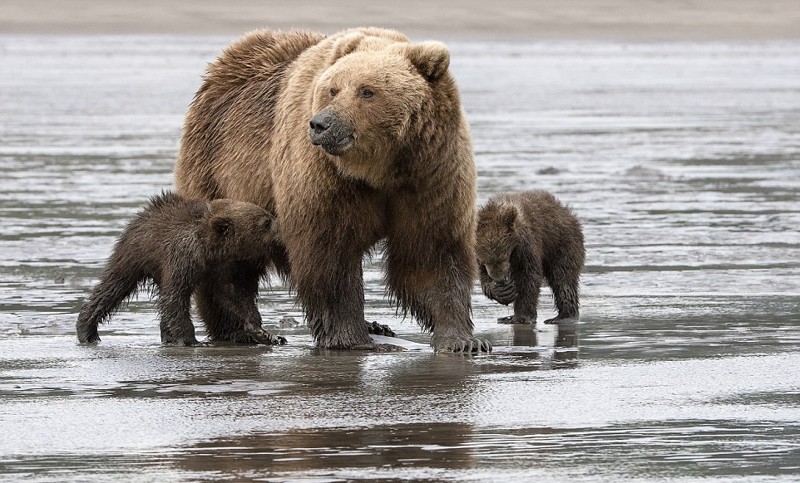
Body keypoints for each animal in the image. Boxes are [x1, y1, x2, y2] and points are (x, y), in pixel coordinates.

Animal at [174, 27, 488, 352]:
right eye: (333, 89)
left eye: (367, 91)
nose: (321, 123)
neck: (381, 169)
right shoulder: (326, 178)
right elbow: (330, 253)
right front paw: (352, 338)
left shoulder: (431, 174)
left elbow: (430, 251)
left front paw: (462, 340)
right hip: (220, 168)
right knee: (229, 260)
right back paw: (246, 330)